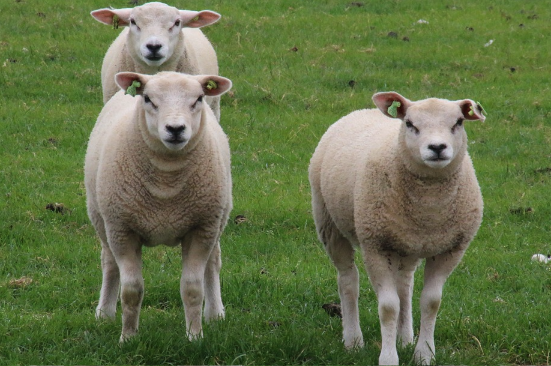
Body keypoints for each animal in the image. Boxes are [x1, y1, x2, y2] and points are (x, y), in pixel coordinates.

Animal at [84, 71, 233, 344]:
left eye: (198, 99)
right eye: (148, 99)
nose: (175, 129)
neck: (167, 182)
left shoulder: (201, 227)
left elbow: (192, 288)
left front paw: (194, 336)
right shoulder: (122, 230)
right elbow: (131, 290)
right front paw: (128, 338)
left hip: (219, 218)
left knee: (213, 263)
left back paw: (215, 314)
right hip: (101, 218)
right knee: (109, 263)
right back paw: (105, 314)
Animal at [310, 92, 488, 366]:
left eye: (458, 122)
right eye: (410, 124)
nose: (437, 148)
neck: (429, 207)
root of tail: (363, 110)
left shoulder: (451, 249)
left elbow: (431, 302)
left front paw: (424, 354)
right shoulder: (375, 245)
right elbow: (388, 307)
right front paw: (388, 357)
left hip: (406, 243)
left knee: (404, 286)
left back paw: (404, 338)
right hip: (328, 222)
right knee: (348, 280)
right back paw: (353, 340)